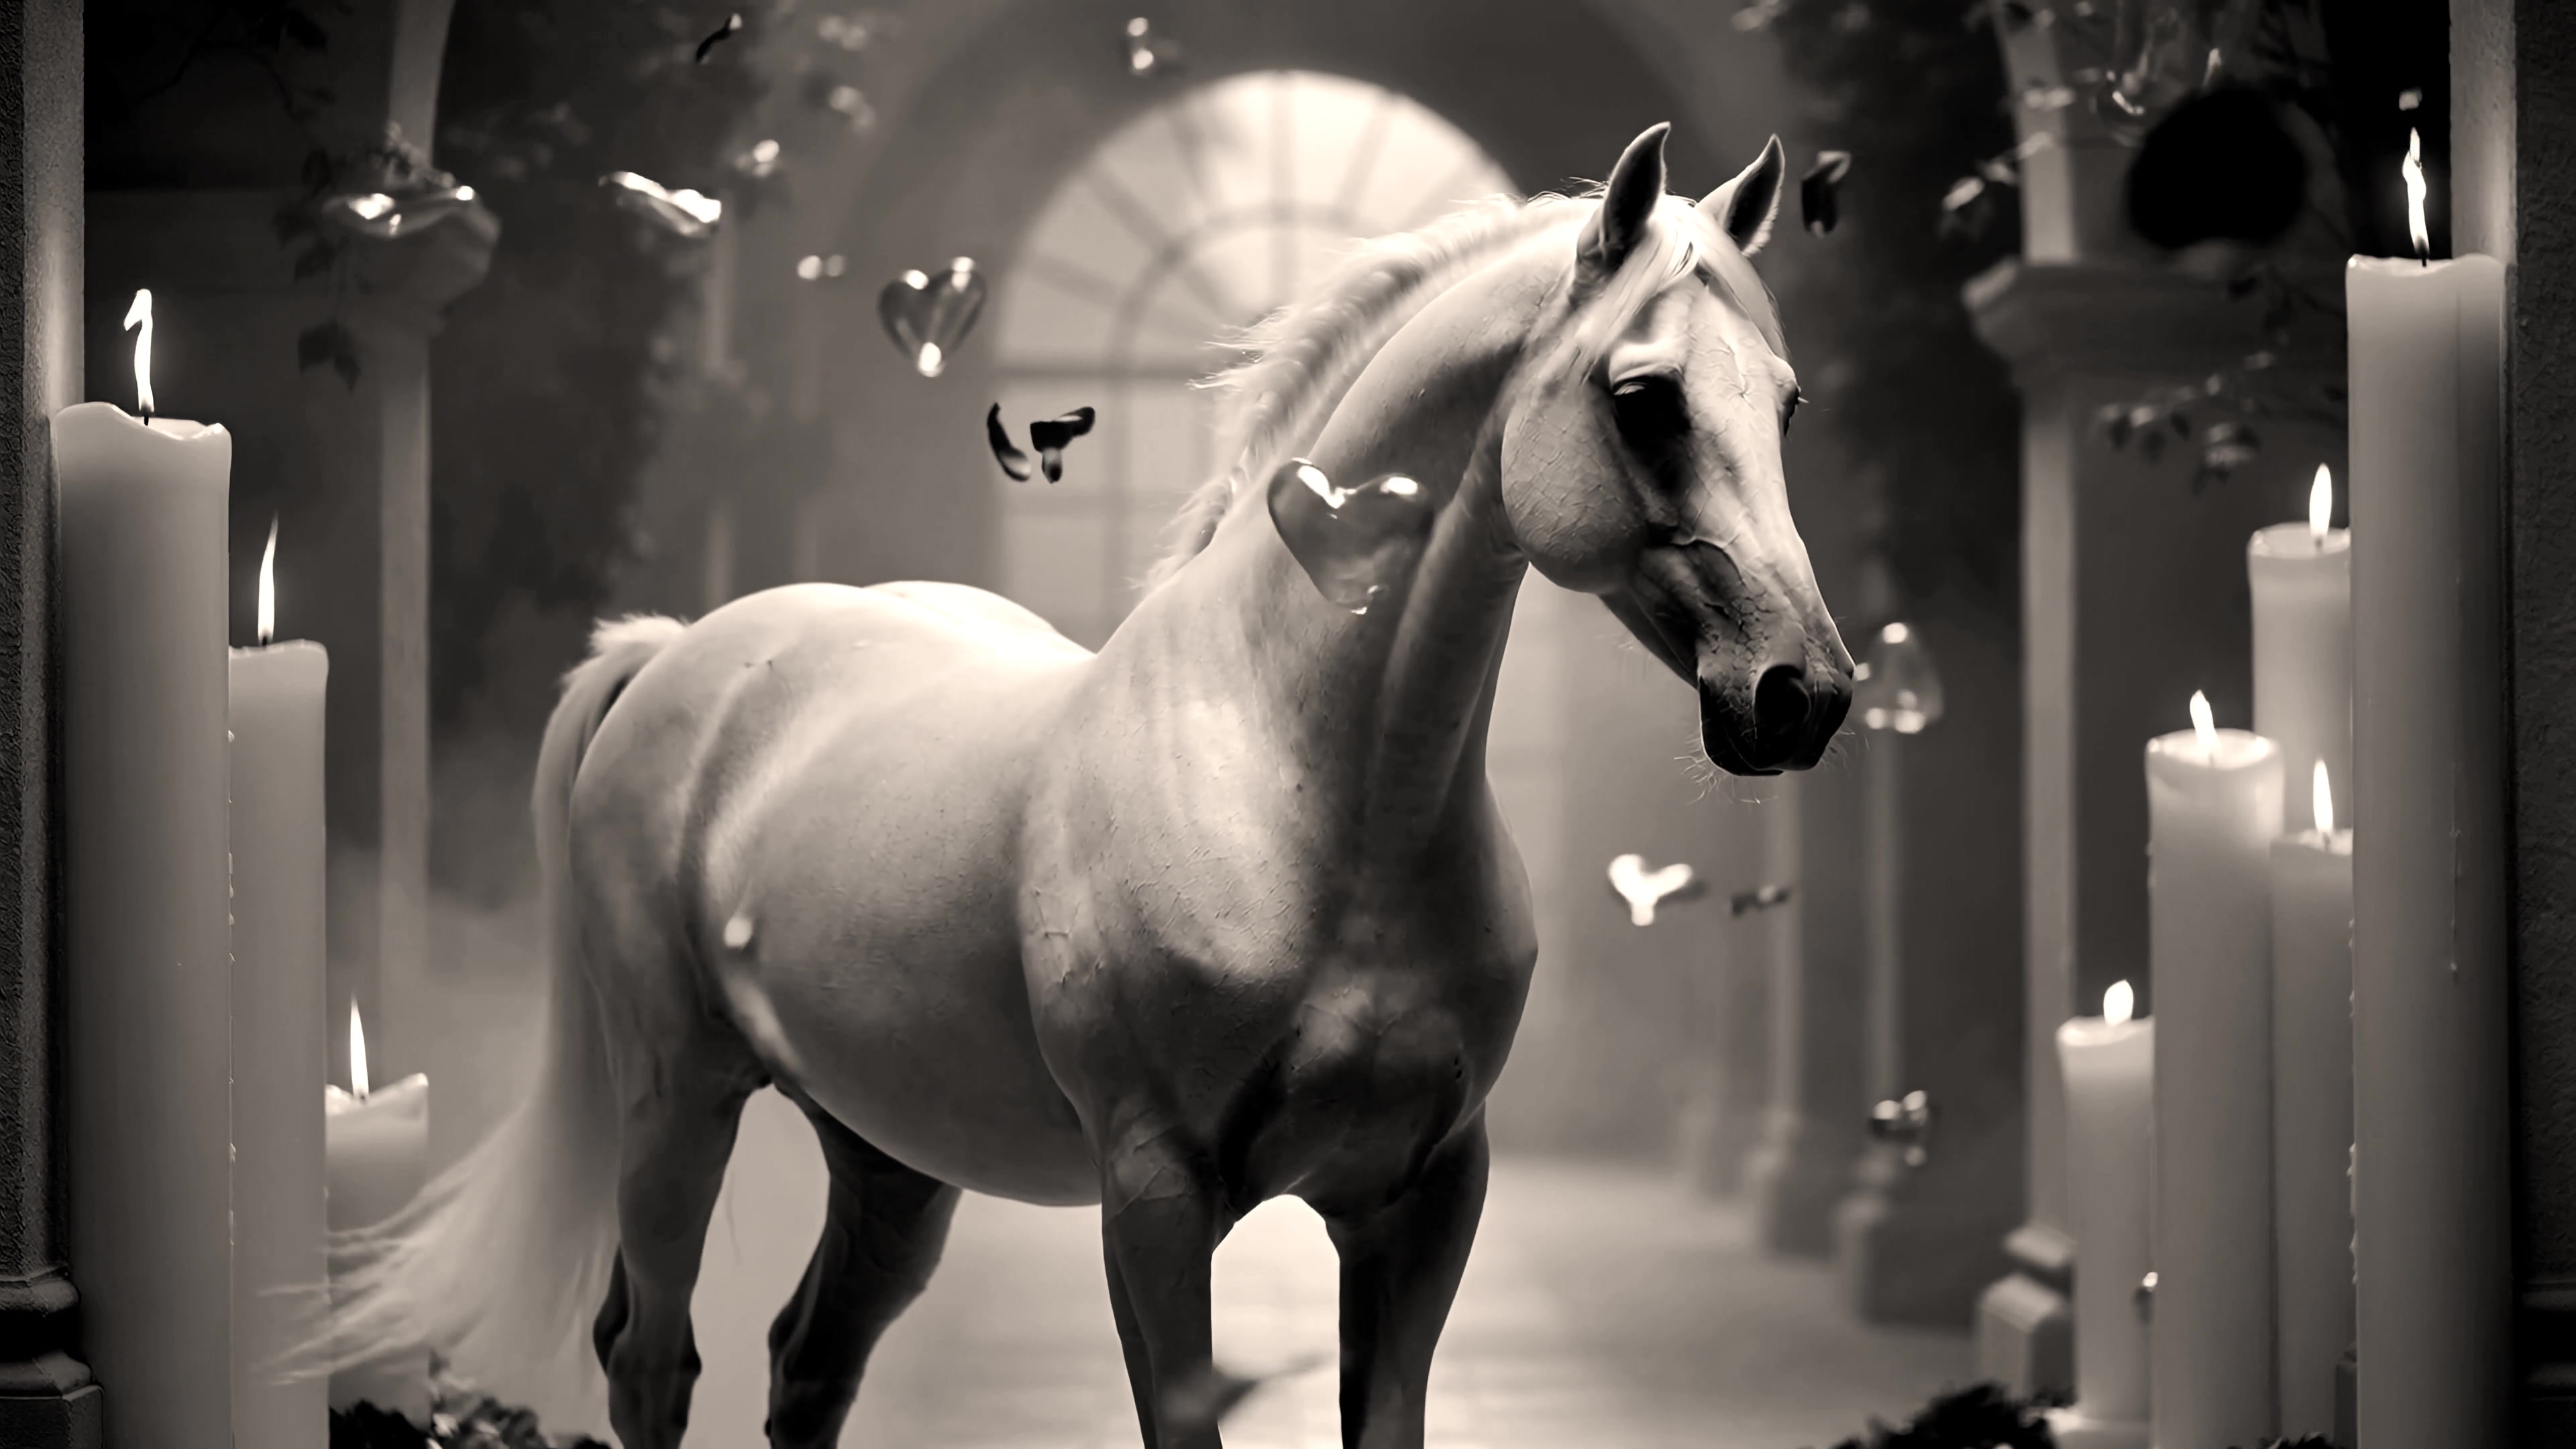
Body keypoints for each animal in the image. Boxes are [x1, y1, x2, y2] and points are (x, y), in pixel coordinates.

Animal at [302, 121, 1851, 1449]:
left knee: (807, 1362)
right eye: (1644, 398)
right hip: (676, 1097)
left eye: (1784, 404)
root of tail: (679, 649)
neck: (1309, 788)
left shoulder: (1423, 1201)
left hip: (888, 1153)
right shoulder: (1155, 1199)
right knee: (650, 1363)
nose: (1805, 693)